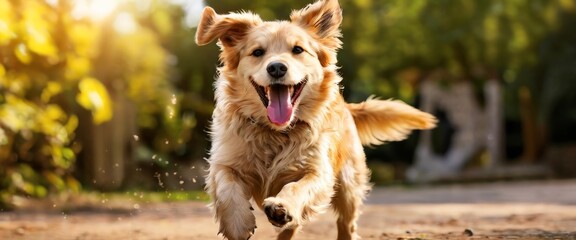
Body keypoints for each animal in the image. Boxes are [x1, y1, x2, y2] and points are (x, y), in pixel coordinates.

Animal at [196, 0, 434, 239]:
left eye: (298, 50)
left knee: (346, 224)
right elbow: (226, 186)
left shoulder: (318, 171)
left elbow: (297, 187)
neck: (276, 131)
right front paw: (238, 223)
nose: (277, 67)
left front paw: (282, 206)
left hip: (348, 187)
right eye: (257, 52)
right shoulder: (224, 161)